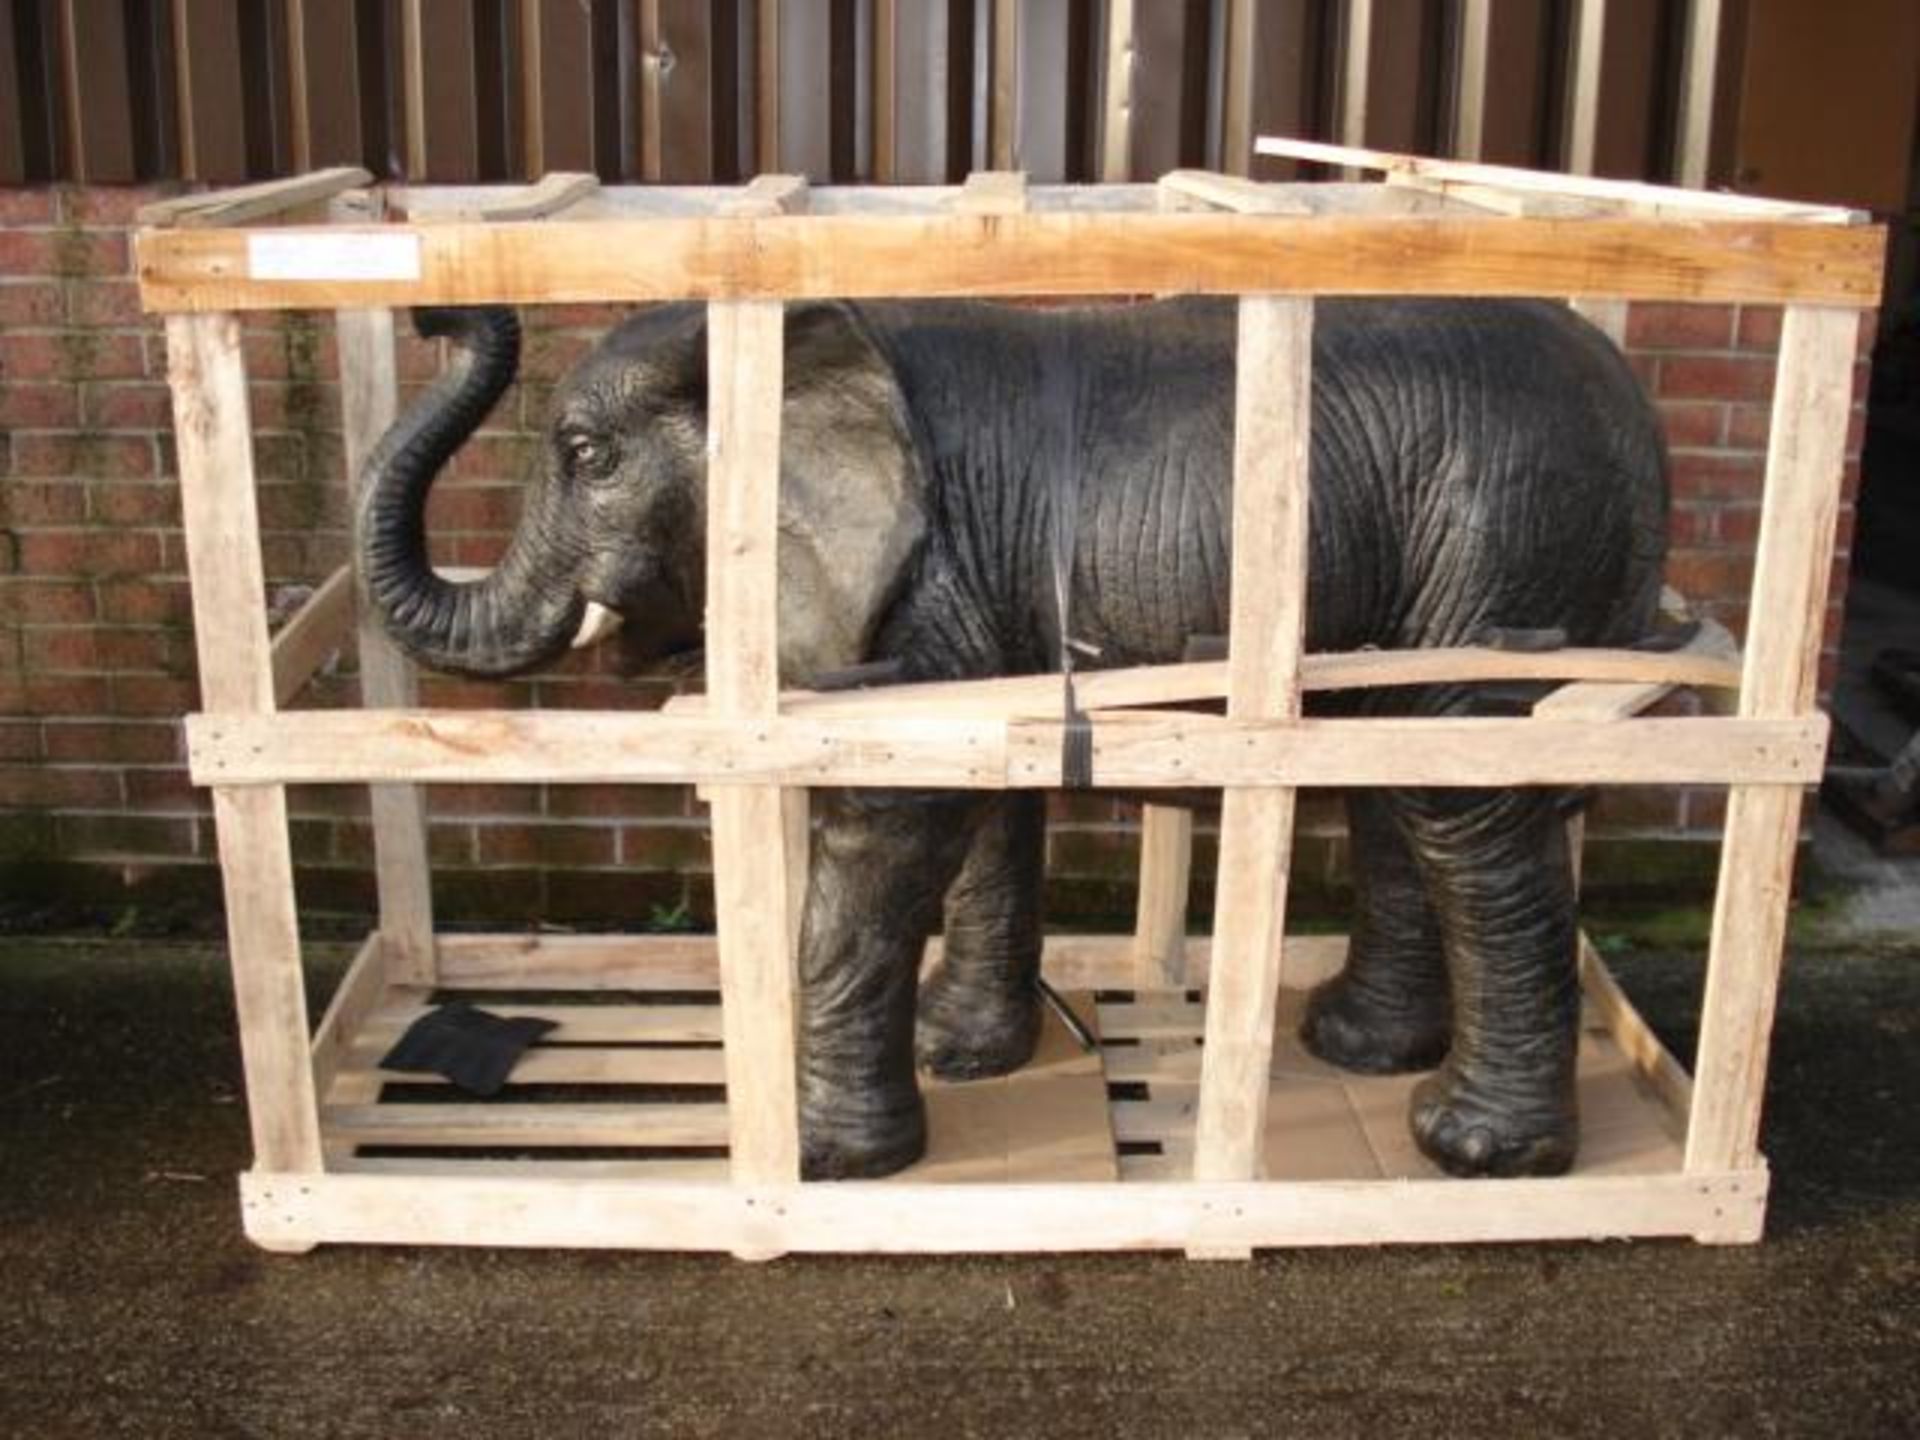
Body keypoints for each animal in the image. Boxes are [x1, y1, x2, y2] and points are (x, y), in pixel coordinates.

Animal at [357, 293, 1666, 1182]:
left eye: (587, 457)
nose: (439, 308)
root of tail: (1634, 405)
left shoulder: (921, 580)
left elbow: (889, 828)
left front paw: (830, 1166)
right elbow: (979, 798)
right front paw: (961, 1054)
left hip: (1508, 543)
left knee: (1466, 809)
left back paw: (1468, 1150)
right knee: (1403, 781)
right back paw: (1359, 1050)